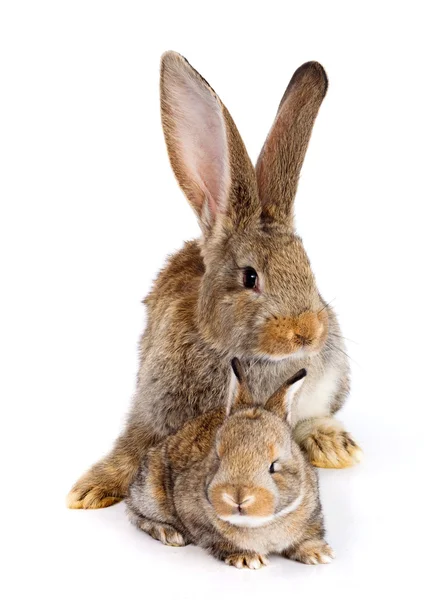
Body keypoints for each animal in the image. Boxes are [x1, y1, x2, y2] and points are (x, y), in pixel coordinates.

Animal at [68, 52, 360, 510]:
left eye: (309, 270)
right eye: (250, 277)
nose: (308, 332)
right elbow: (132, 448)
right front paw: (91, 489)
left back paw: (331, 444)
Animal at [125, 358, 332, 568]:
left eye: (273, 466)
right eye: (218, 458)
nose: (238, 497)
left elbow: (308, 535)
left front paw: (318, 554)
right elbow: (220, 540)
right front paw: (248, 558)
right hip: (150, 492)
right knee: (135, 513)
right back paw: (168, 533)